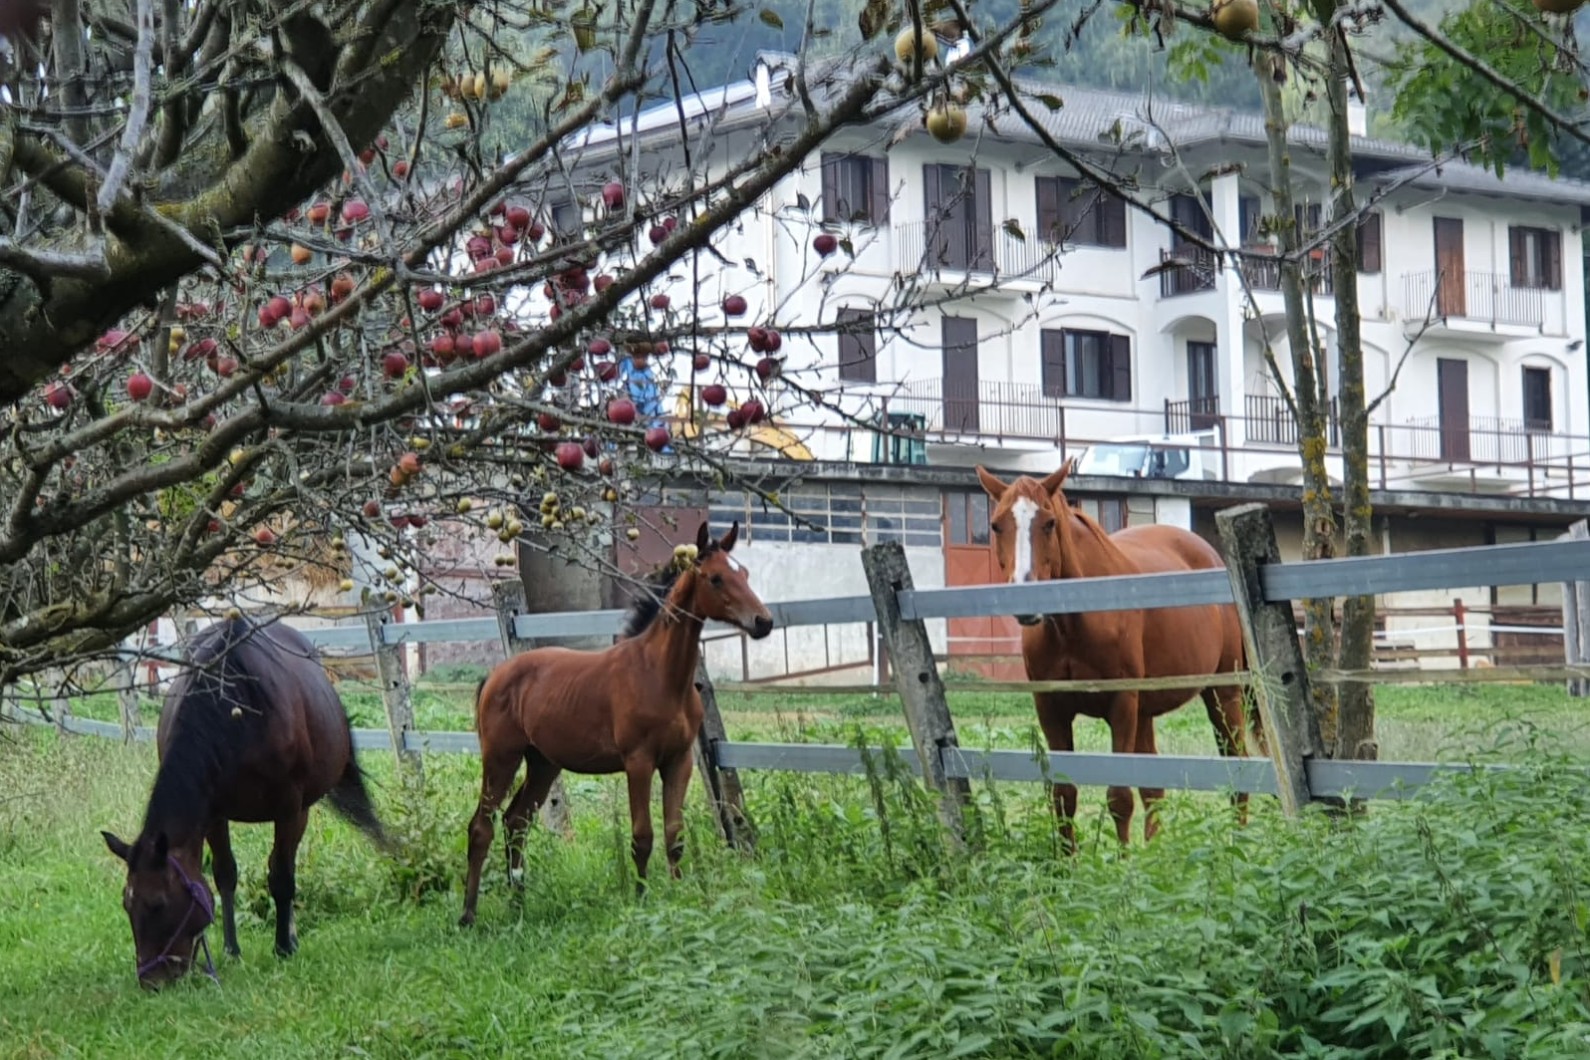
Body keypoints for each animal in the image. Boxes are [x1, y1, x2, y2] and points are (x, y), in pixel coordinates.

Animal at [101, 614, 389, 988]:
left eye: (158, 904)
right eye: (126, 905)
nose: (153, 981)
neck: (234, 715)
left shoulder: (288, 807)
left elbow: (281, 876)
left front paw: (283, 947)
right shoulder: (213, 813)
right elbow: (225, 874)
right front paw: (231, 949)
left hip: (302, 810)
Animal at [459, 521, 773, 926]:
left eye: (744, 573)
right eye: (716, 578)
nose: (763, 622)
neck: (660, 675)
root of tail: (495, 675)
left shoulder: (680, 762)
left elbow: (674, 835)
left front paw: (679, 896)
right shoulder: (638, 762)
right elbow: (643, 835)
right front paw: (641, 900)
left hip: (543, 763)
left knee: (516, 822)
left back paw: (519, 905)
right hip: (501, 757)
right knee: (481, 826)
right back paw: (468, 915)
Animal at [975, 459, 1261, 852]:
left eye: (1049, 523)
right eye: (996, 524)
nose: (1025, 599)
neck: (1073, 624)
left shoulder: (1121, 704)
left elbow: (1119, 796)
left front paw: (1125, 863)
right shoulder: (1051, 709)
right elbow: (1064, 795)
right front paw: (1068, 861)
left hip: (1222, 694)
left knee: (1237, 768)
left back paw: (1239, 842)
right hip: (1148, 711)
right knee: (1154, 788)